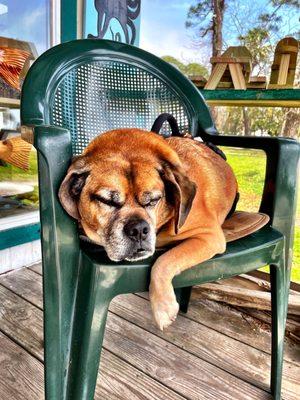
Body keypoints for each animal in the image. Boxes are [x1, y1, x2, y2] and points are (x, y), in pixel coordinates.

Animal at [58, 129, 237, 332]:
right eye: (106, 201)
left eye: (153, 200)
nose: (138, 229)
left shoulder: (210, 236)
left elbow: (164, 260)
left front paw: (163, 307)